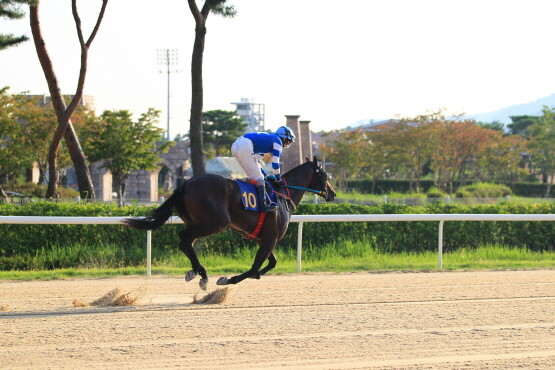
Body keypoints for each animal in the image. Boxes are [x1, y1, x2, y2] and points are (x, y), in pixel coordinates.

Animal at [123, 156, 336, 290]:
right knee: (184, 238)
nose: (333, 194)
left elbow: (271, 263)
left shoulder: (263, 238)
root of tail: (187, 183)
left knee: (187, 242)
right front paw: (227, 279)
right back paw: (202, 275)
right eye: (325, 176)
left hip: (196, 221)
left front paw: (255, 275)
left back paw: (198, 272)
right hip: (216, 222)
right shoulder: (270, 238)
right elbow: (255, 267)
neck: (283, 194)